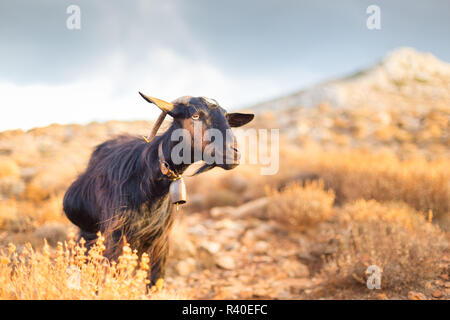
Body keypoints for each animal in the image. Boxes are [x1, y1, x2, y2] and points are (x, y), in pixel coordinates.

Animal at [62, 93, 253, 284]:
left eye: (227, 118)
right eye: (195, 115)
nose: (233, 154)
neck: (148, 185)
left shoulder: (160, 241)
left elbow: (155, 282)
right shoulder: (115, 237)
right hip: (88, 234)